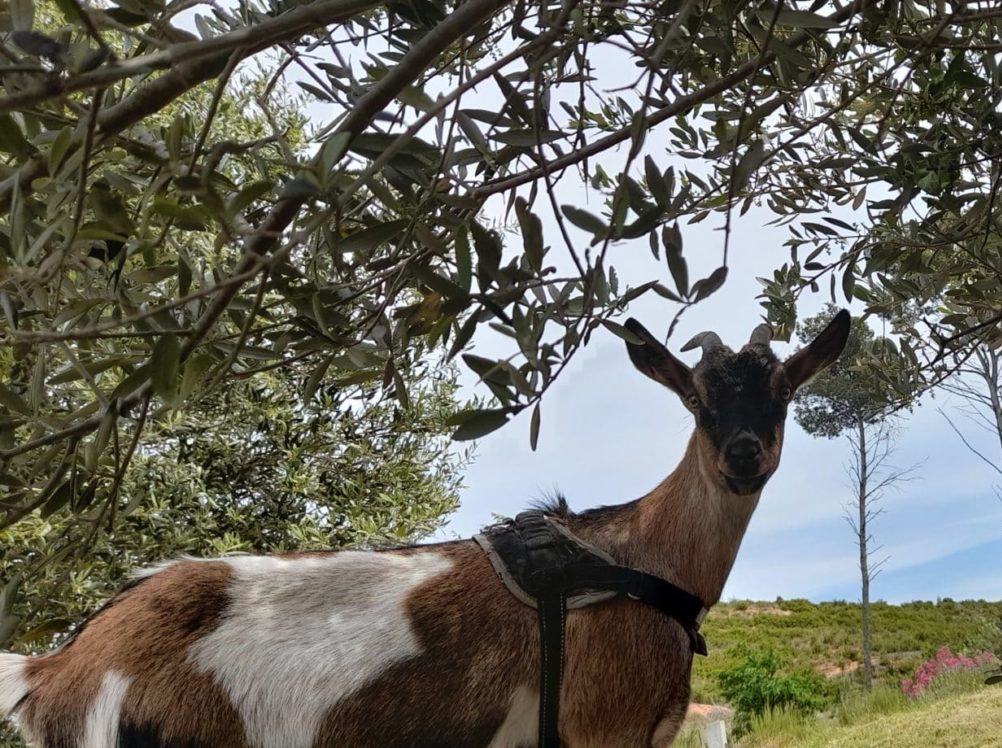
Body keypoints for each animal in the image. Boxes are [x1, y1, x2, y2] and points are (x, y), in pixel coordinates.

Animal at [0, 310, 849, 748]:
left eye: (782, 395)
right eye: (697, 401)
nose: (742, 455)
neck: (628, 553)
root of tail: (60, 667)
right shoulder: (600, 729)